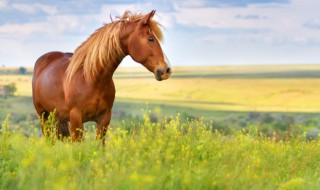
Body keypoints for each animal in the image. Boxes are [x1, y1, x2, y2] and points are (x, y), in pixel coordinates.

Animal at [32, 9, 171, 142]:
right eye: (151, 39)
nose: (167, 70)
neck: (91, 79)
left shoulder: (104, 119)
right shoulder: (76, 119)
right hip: (43, 116)